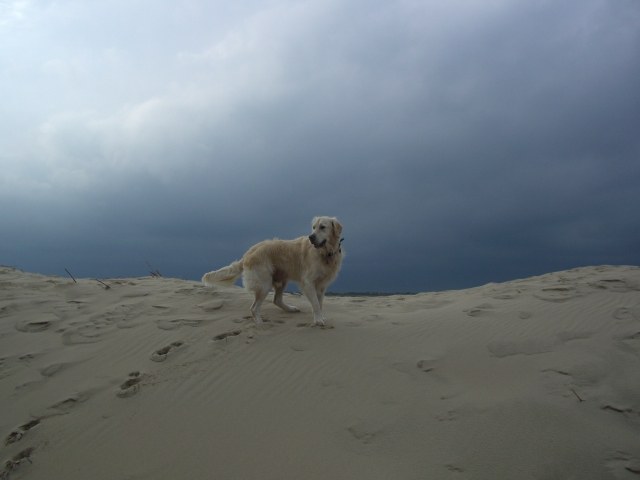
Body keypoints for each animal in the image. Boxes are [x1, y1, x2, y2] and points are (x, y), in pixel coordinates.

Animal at [204, 218, 344, 326]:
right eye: (313, 228)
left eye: (322, 227)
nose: (311, 237)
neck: (325, 253)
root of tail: (247, 253)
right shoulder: (308, 282)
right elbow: (315, 303)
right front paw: (318, 320)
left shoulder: (322, 285)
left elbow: (320, 303)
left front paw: (321, 317)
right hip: (264, 284)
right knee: (254, 308)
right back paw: (260, 324)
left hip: (281, 280)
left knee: (277, 300)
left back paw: (291, 309)